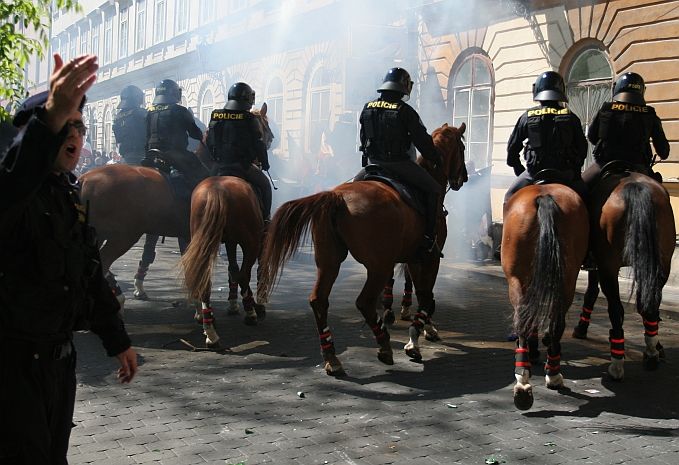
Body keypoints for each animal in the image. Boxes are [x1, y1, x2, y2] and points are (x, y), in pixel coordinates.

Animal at [256, 121, 468, 376]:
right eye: (462, 147)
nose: (464, 177)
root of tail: (335, 197)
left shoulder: (412, 258)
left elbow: (422, 292)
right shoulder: (427, 258)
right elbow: (426, 295)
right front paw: (417, 337)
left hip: (329, 262)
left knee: (319, 300)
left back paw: (332, 357)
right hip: (378, 266)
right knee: (364, 302)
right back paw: (384, 345)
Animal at [502, 181, 592, 410]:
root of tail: (544, 195)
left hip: (517, 278)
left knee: (525, 320)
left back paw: (528, 380)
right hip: (566, 279)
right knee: (552, 323)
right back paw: (544, 374)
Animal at [584, 164, 676, 380]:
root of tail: (636, 186)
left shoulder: (599, 262)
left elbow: (592, 289)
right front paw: (658, 348)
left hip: (608, 265)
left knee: (616, 308)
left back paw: (617, 364)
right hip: (661, 263)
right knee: (649, 305)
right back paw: (651, 353)